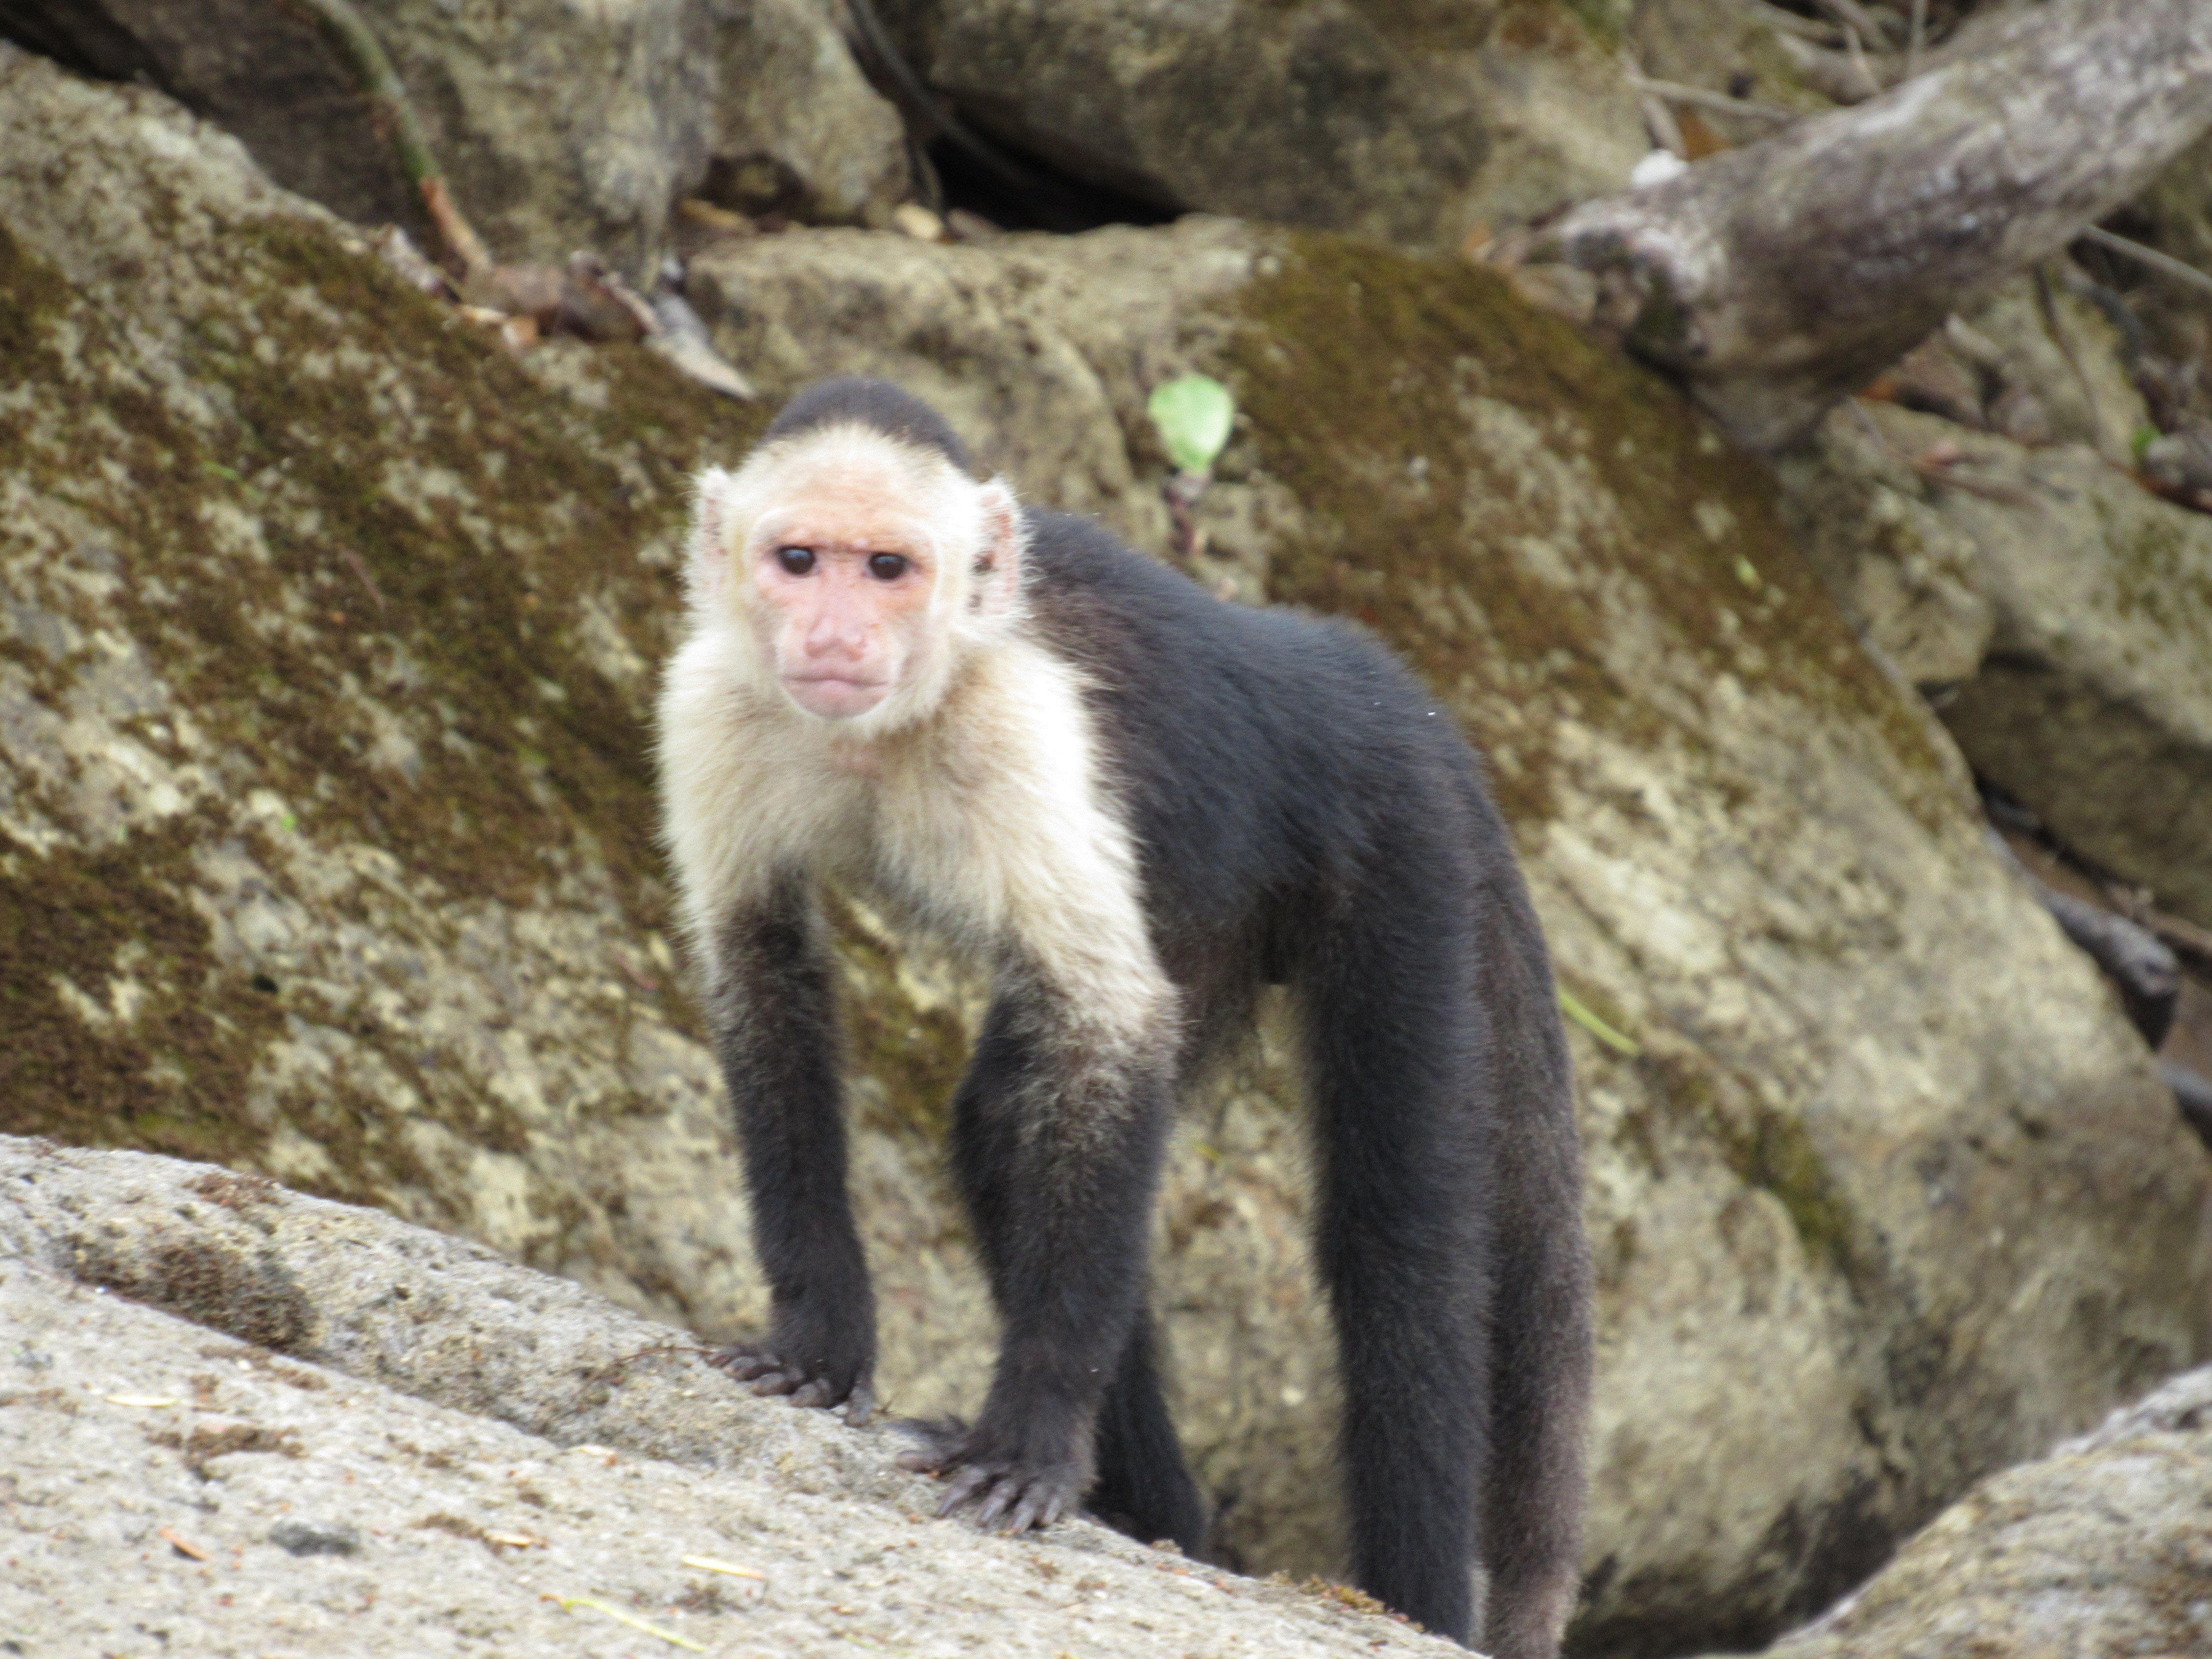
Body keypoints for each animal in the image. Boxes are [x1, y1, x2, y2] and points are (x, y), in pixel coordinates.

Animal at [655, 377, 1593, 1657]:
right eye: (798, 560)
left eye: (890, 567)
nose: (837, 635)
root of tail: (1368, 677)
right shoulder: (711, 702)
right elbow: (762, 967)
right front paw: (819, 1340)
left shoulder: (1022, 730)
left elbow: (1110, 1030)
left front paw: (1032, 1443)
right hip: (1223, 906)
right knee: (1005, 1126)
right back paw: (1163, 1518)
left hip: (1400, 846)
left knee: (1396, 1237)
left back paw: (1413, 1601)